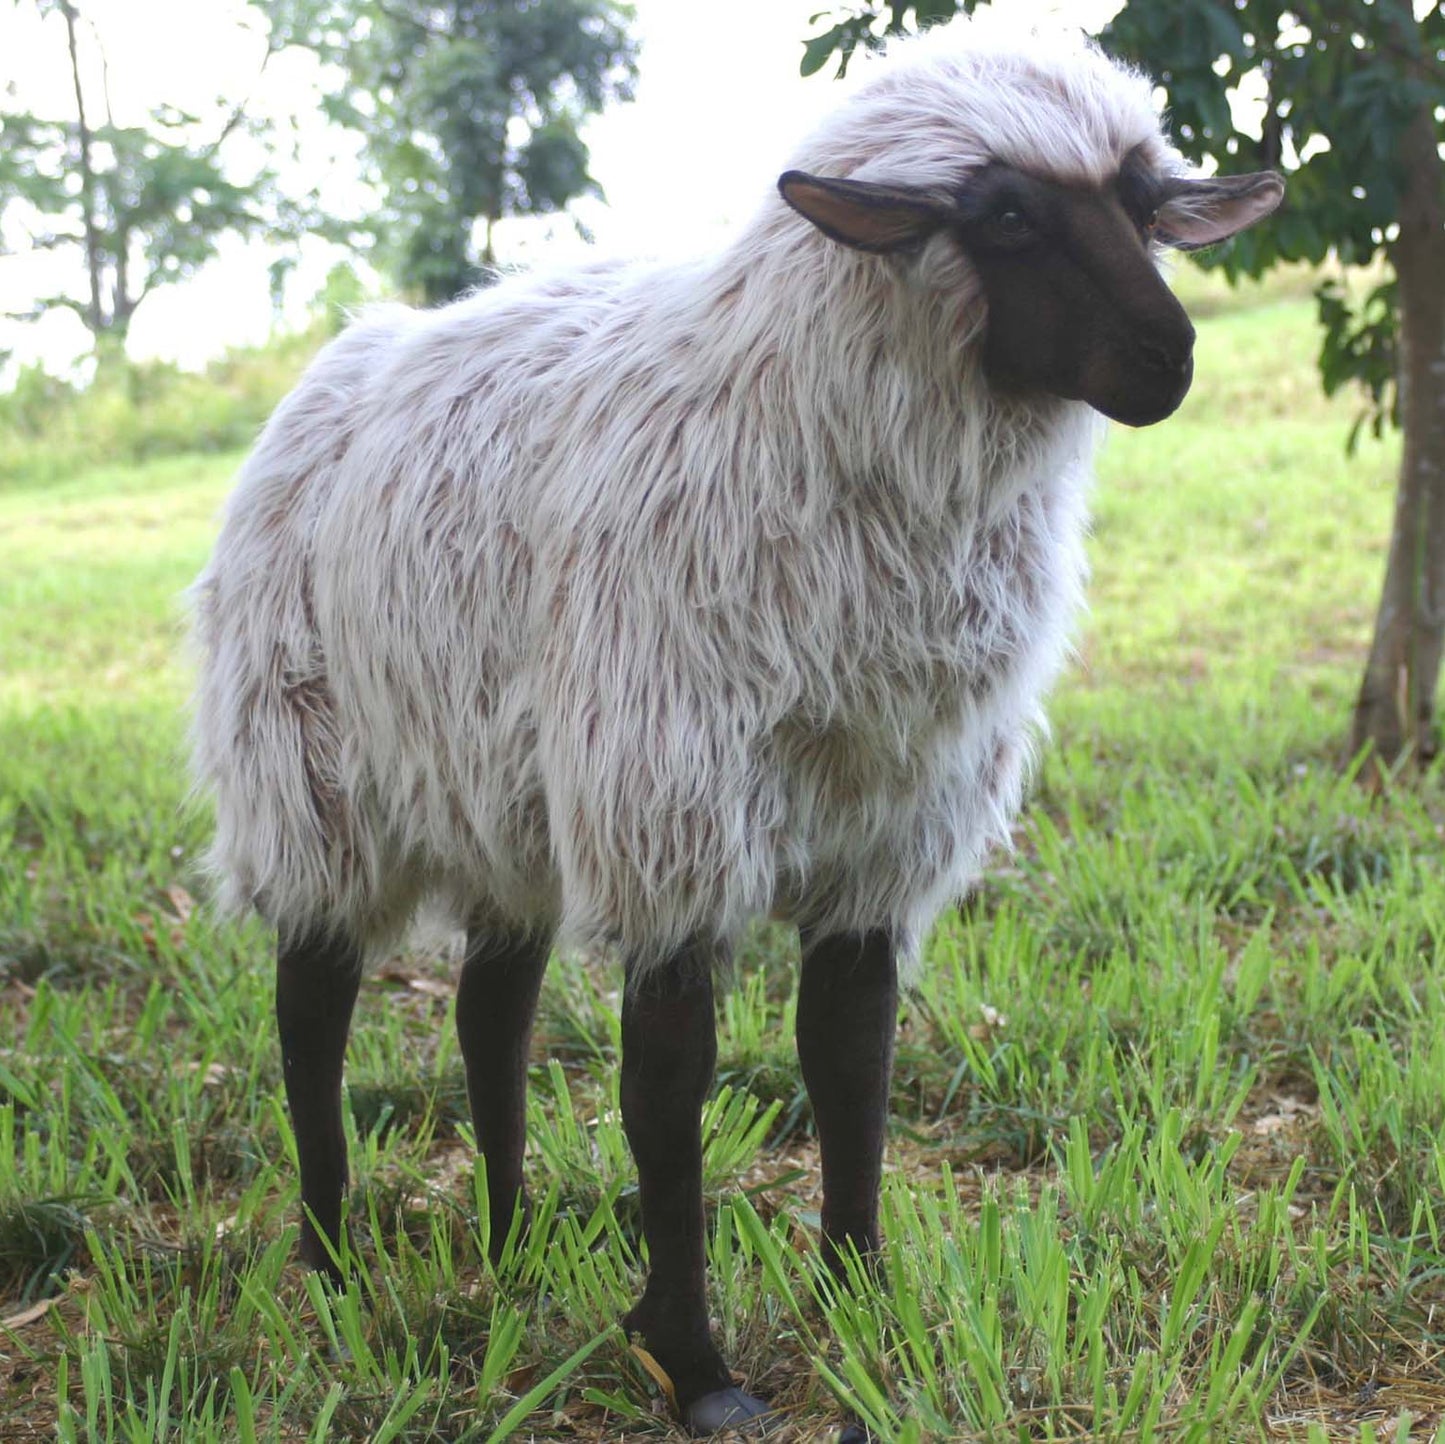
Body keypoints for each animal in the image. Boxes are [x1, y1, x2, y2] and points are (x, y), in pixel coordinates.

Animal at [189, 20, 1283, 1436]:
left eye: (1145, 208)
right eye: (1002, 216)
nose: (1169, 359)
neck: (790, 418)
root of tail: (338, 361)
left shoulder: (886, 820)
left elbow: (851, 1060)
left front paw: (863, 1303)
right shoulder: (669, 798)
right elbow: (666, 1088)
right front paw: (694, 1365)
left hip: (503, 789)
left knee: (489, 1012)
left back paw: (508, 1242)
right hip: (312, 768)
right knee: (311, 1009)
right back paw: (326, 1262)